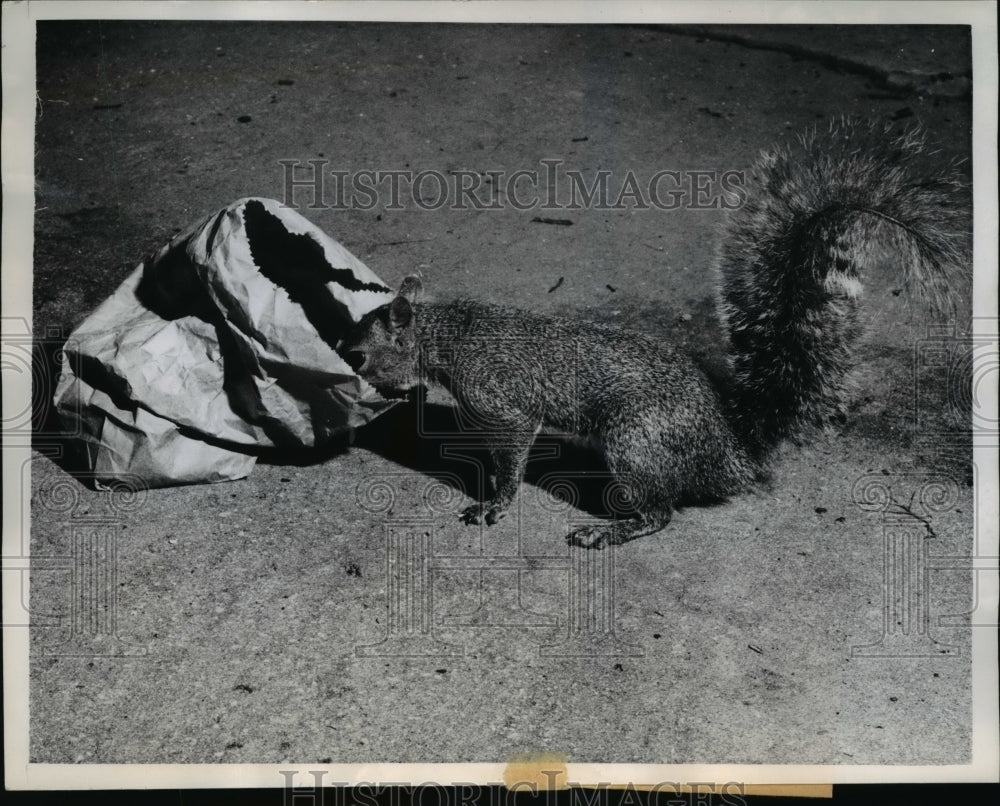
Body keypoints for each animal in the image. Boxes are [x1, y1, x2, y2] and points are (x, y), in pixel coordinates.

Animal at [338, 121, 969, 549]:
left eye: (360, 353)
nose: (347, 373)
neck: (450, 334)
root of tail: (730, 456)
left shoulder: (506, 403)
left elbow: (511, 456)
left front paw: (494, 503)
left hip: (636, 444)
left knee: (660, 512)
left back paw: (608, 532)